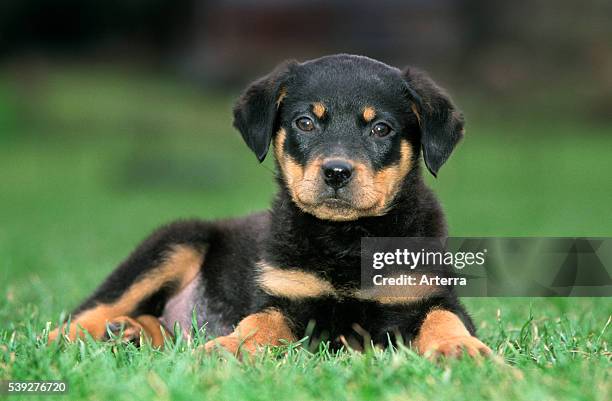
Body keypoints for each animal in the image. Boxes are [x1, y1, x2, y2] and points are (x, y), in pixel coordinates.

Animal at [51, 54, 492, 358]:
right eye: (305, 123)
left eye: (381, 129)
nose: (336, 172)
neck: (344, 239)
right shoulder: (284, 296)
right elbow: (257, 324)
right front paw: (228, 347)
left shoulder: (424, 294)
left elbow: (446, 319)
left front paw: (461, 350)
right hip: (175, 241)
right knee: (90, 310)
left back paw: (132, 332)